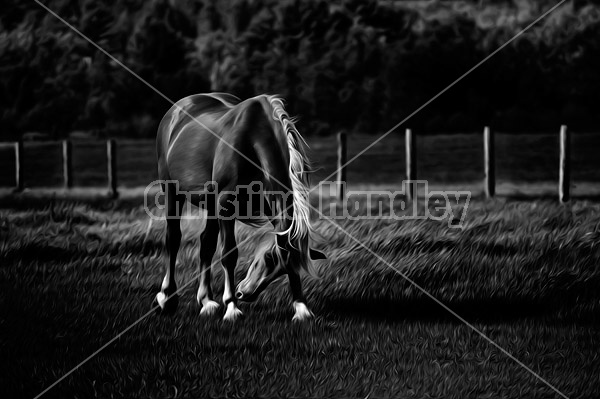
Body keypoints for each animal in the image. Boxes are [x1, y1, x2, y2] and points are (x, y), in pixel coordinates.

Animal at [152, 93, 326, 322]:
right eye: (266, 258)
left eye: (279, 266)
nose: (245, 293)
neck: (253, 140)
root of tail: (177, 108)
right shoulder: (226, 204)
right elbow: (229, 254)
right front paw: (232, 307)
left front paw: (301, 308)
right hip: (172, 192)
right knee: (173, 239)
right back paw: (167, 298)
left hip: (210, 203)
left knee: (206, 244)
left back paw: (206, 301)